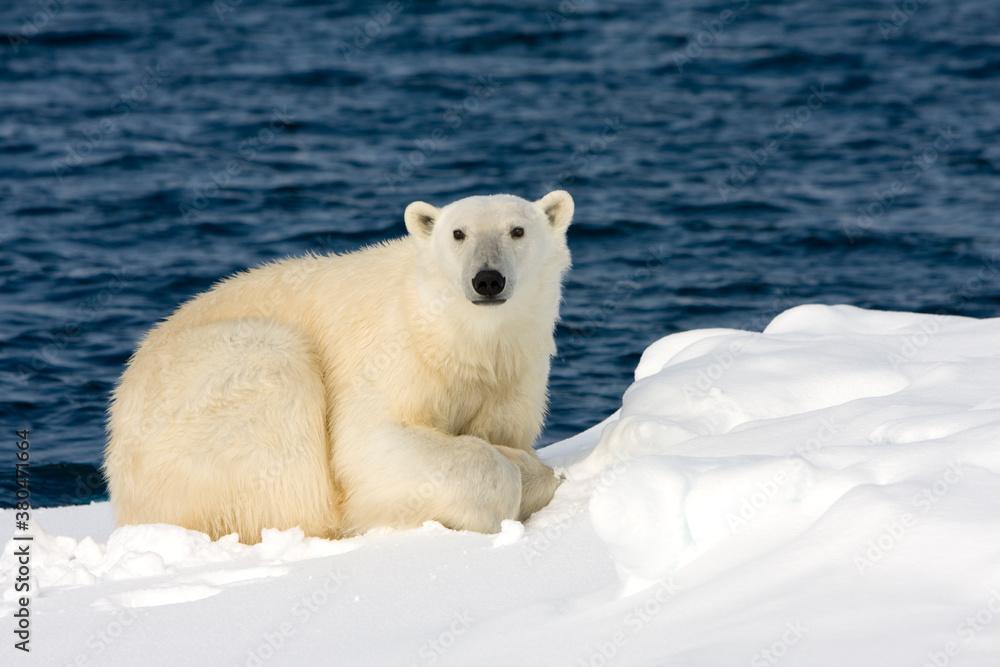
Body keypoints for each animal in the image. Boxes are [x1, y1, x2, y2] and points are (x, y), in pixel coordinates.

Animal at [103, 191, 574, 544]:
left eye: (518, 230)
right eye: (459, 233)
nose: (487, 279)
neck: (461, 340)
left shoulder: (514, 373)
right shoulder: (391, 355)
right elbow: (366, 446)